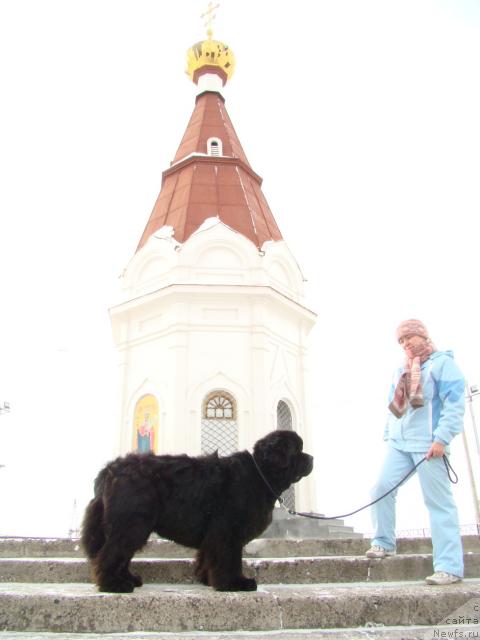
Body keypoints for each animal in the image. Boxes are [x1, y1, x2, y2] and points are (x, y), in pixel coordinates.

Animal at [80, 432, 314, 592]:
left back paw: (129, 579)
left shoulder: (214, 534)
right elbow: (229, 559)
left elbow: (207, 558)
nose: (312, 458)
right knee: (112, 553)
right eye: (297, 450)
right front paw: (234, 583)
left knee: (121, 554)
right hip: (133, 523)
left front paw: (207, 579)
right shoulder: (227, 531)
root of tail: (110, 469)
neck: (260, 474)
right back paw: (114, 584)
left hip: (132, 525)